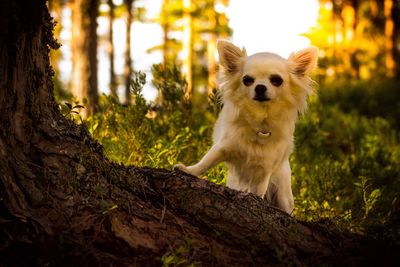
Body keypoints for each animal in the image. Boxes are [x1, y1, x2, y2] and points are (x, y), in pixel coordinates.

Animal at [173, 40, 318, 215]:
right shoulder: (223, 147)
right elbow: (206, 162)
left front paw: (255, 200)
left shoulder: (265, 168)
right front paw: (189, 170)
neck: (260, 121)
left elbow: (259, 189)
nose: (260, 87)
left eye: (276, 80)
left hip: (283, 193)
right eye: (247, 80)